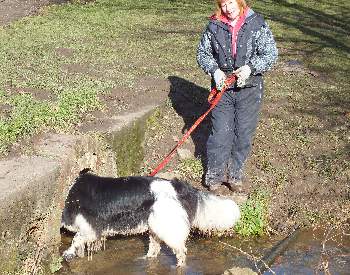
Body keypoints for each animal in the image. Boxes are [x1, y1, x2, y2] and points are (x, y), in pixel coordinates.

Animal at [60, 170, 241, 268]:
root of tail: (179, 187)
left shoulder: (90, 227)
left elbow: (76, 239)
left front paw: (68, 253)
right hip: (155, 225)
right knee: (155, 249)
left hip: (166, 225)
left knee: (181, 251)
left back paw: (178, 267)